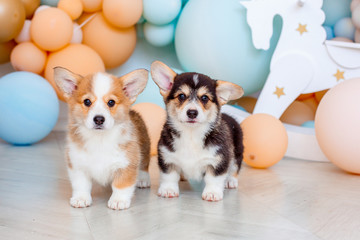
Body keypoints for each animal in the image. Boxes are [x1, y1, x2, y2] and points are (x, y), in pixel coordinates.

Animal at [53, 67, 150, 210]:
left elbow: (121, 185)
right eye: (87, 101)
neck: (100, 139)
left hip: (145, 148)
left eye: (111, 102)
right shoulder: (77, 164)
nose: (99, 119)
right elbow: (81, 184)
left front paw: (118, 201)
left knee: (144, 164)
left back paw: (143, 179)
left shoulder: (126, 164)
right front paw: (81, 199)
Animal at [149, 61, 245, 202]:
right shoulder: (167, 157)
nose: (192, 112)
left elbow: (214, 178)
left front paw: (212, 193)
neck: (191, 134)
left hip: (237, 151)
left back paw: (230, 181)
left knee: (234, 167)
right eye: (181, 96)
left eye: (204, 98)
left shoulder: (219, 159)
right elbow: (169, 176)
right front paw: (168, 190)